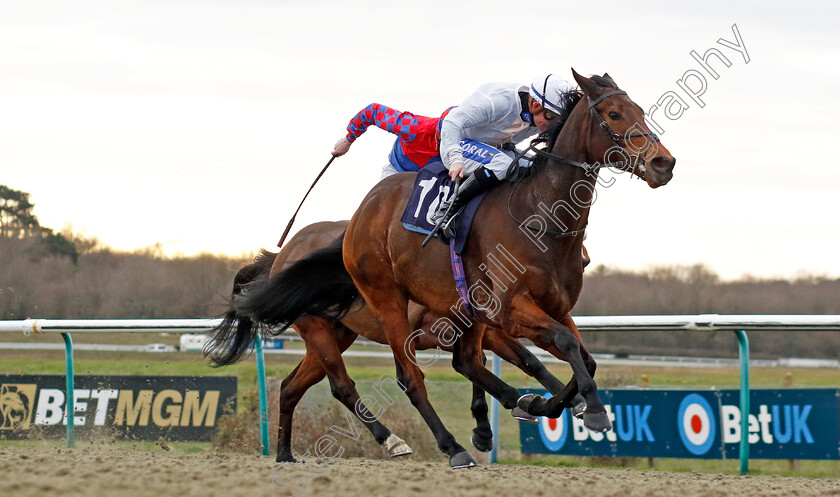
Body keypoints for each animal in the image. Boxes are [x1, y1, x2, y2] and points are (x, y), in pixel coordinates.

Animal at [208, 220, 588, 462]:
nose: (583, 259)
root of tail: (281, 255)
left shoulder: (484, 327)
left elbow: (525, 361)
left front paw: (567, 401)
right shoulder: (454, 327)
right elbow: (474, 366)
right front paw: (492, 424)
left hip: (338, 333)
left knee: (291, 387)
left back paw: (285, 454)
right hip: (316, 329)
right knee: (341, 385)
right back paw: (391, 440)